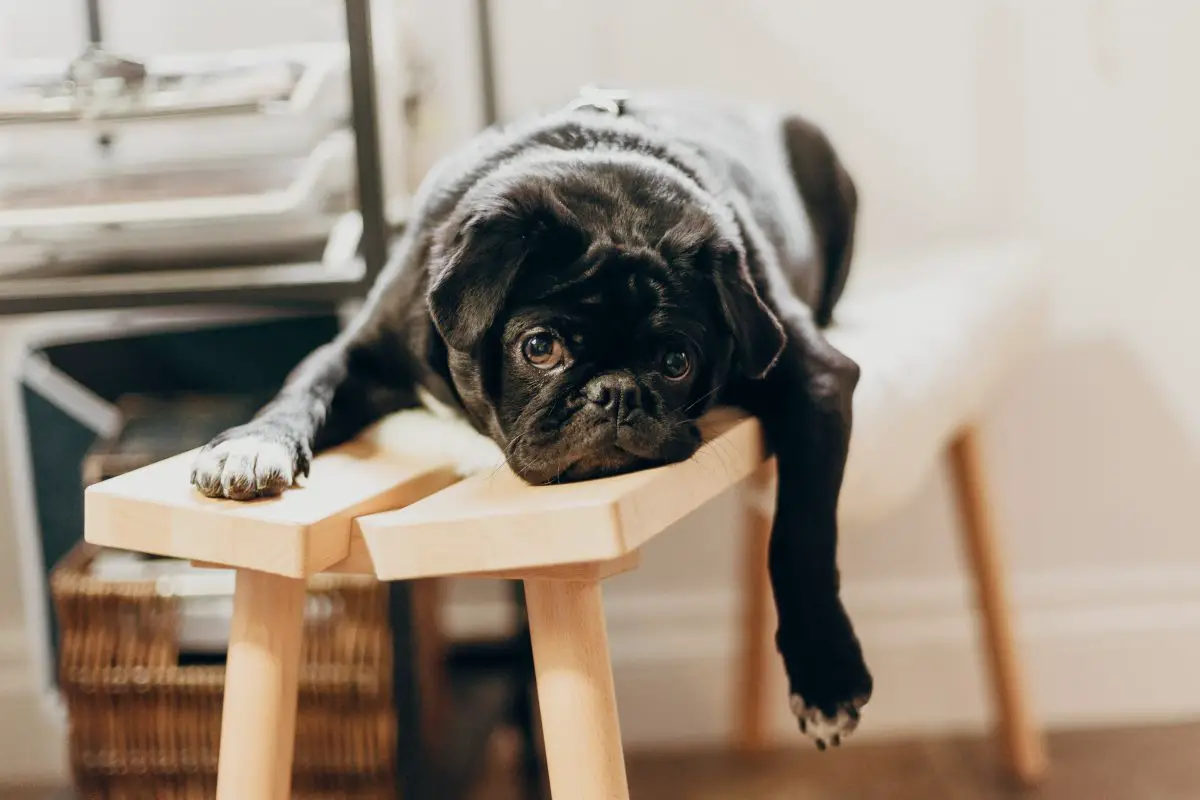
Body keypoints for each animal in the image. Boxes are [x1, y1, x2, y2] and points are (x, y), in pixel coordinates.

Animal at [194, 89, 873, 753]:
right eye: (540, 347)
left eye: (677, 362)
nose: (616, 393)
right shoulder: (354, 353)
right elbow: (302, 389)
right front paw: (253, 446)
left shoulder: (815, 379)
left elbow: (801, 535)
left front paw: (826, 672)